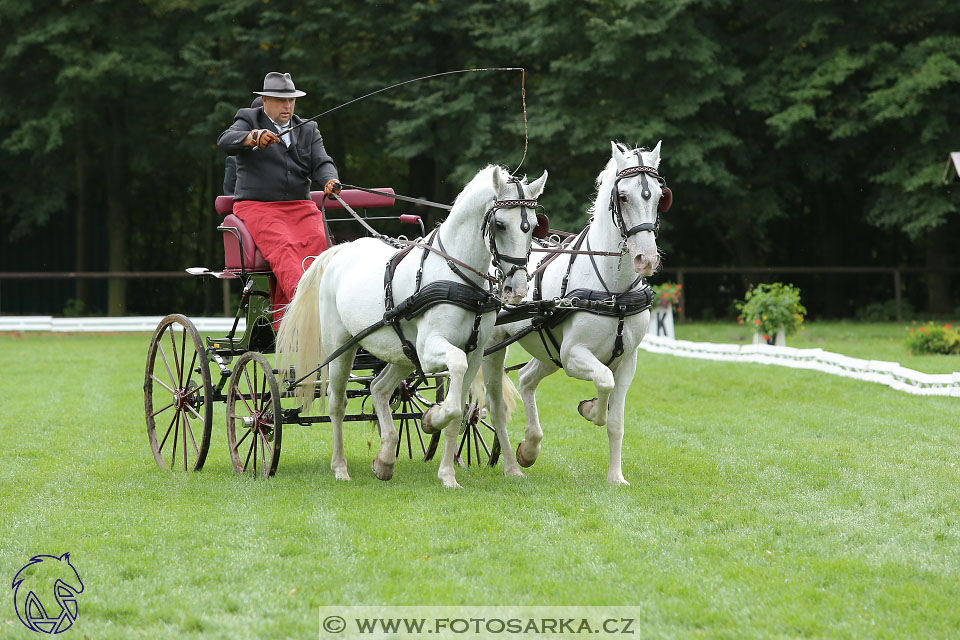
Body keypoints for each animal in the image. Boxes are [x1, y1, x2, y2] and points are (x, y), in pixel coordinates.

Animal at [278, 164, 548, 484]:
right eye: (500, 224)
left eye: (533, 225)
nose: (517, 289)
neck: (457, 275)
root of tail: (340, 251)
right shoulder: (431, 350)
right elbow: (453, 393)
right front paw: (432, 420)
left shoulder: (474, 354)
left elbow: (459, 411)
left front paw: (447, 474)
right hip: (341, 347)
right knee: (337, 403)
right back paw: (340, 468)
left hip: (402, 352)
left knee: (379, 389)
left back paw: (384, 459)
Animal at [484, 142, 672, 484]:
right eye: (623, 196)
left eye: (658, 195)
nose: (646, 258)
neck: (614, 292)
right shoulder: (574, 356)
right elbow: (604, 381)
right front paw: (591, 409)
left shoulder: (628, 362)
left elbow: (616, 421)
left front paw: (616, 477)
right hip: (492, 349)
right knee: (496, 406)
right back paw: (512, 466)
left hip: (548, 350)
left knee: (527, 379)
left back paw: (529, 448)